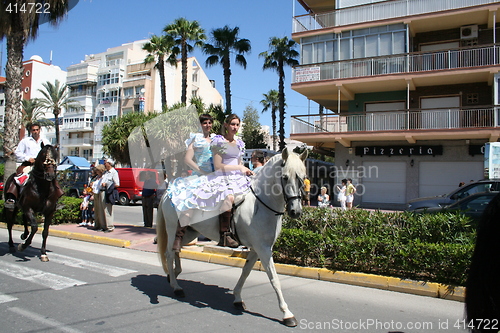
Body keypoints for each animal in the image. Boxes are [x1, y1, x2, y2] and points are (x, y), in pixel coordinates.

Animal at [156, 147, 306, 324]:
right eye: (285, 177)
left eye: (303, 178)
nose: (295, 211)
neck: (260, 203)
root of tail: (169, 192)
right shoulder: (263, 249)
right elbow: (274, 279)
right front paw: (287, 313)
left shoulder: (257, 249)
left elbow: (246, 271)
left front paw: (237, 299)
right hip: (173, 228)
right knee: (169, 253)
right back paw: (176, 287)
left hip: (190, 232)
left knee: (176, 249)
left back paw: (174, 275)